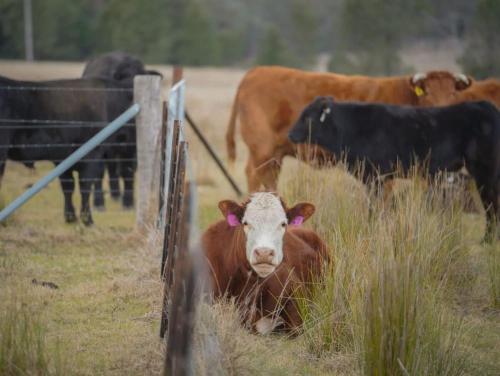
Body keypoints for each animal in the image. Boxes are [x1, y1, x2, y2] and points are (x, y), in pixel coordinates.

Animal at [81, 51, 161, 209]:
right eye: (125, 88)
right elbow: (98, 171)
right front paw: (99, 202)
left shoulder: (132, 145)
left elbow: (127, 171)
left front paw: (128, 201)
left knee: (114, 169)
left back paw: (117, 195)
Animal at [227, 65, 472, 191]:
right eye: (427, 92)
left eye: (453, 92)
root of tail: (256, 71)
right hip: (262, 149)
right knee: (254, 175)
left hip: (275, 154)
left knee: (269, 178)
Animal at [288, 95, 500, 239]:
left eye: (307, 118)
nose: (290, 134)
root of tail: (485, 106)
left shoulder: (375, 177)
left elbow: (374, 207)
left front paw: (371, 228)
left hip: (485, 172)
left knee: (491, 206)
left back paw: (487, 240)